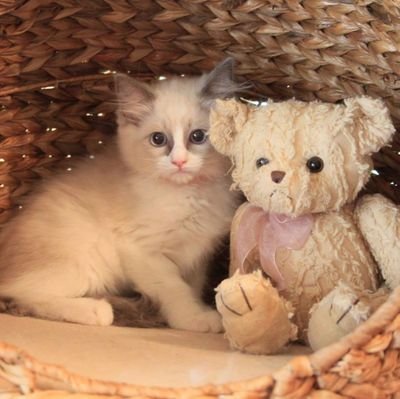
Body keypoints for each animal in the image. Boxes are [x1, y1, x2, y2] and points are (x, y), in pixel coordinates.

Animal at [0, 58, 244, 334]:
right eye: (158, 139)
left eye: (198, 136)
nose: (179, 162)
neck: (188, 194)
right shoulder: (141, 249)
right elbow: (175, 289)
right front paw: (193, 318)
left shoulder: (196, 256)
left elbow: (191, 285)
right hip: (81, 261)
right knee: (19, 292)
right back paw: (95, 310)